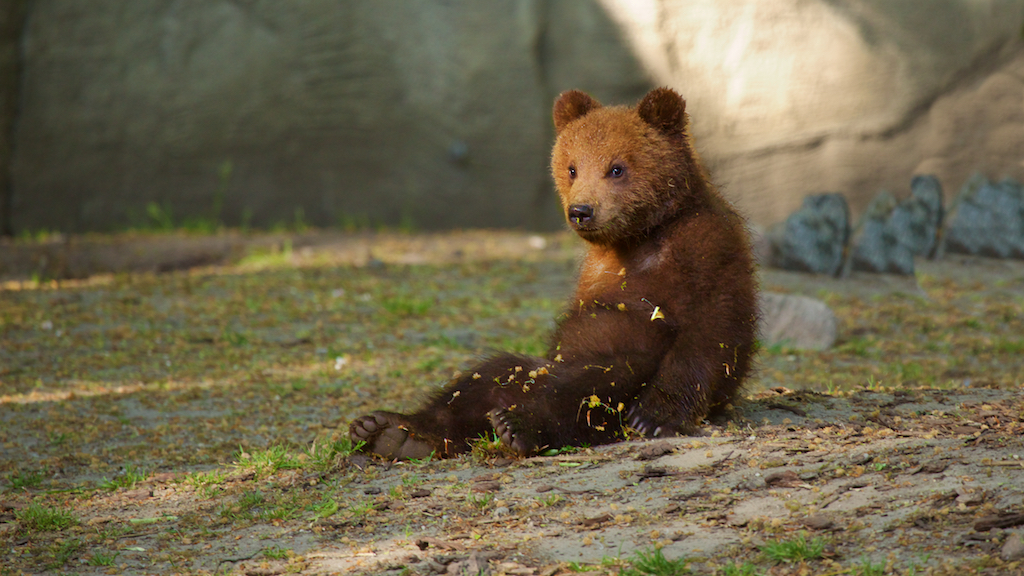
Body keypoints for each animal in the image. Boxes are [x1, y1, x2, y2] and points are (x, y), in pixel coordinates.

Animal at [352, 86, 761, 457]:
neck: (640, 237)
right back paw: (393, 430)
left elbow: (709, 335)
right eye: (572, 167)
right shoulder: (595, 274)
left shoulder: (706, 252)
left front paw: (655, 416)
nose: (581, 210)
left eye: (616, 168)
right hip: (527, 371)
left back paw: (517, 425)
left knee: (594, 389)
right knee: (488, 376)